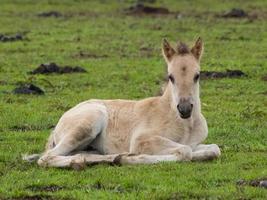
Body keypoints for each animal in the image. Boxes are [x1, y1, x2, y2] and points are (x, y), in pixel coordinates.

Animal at [24, 37, 222, 167]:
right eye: (170, 77)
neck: (184, 124)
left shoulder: (195, 143)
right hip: (89, 121)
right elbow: (185, 151)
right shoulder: (142, 140)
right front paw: (131, 157)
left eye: (197, 75)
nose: (185, 109)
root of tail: (59, 124)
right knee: (46, 158)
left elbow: (213, 149)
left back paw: (106, 158)